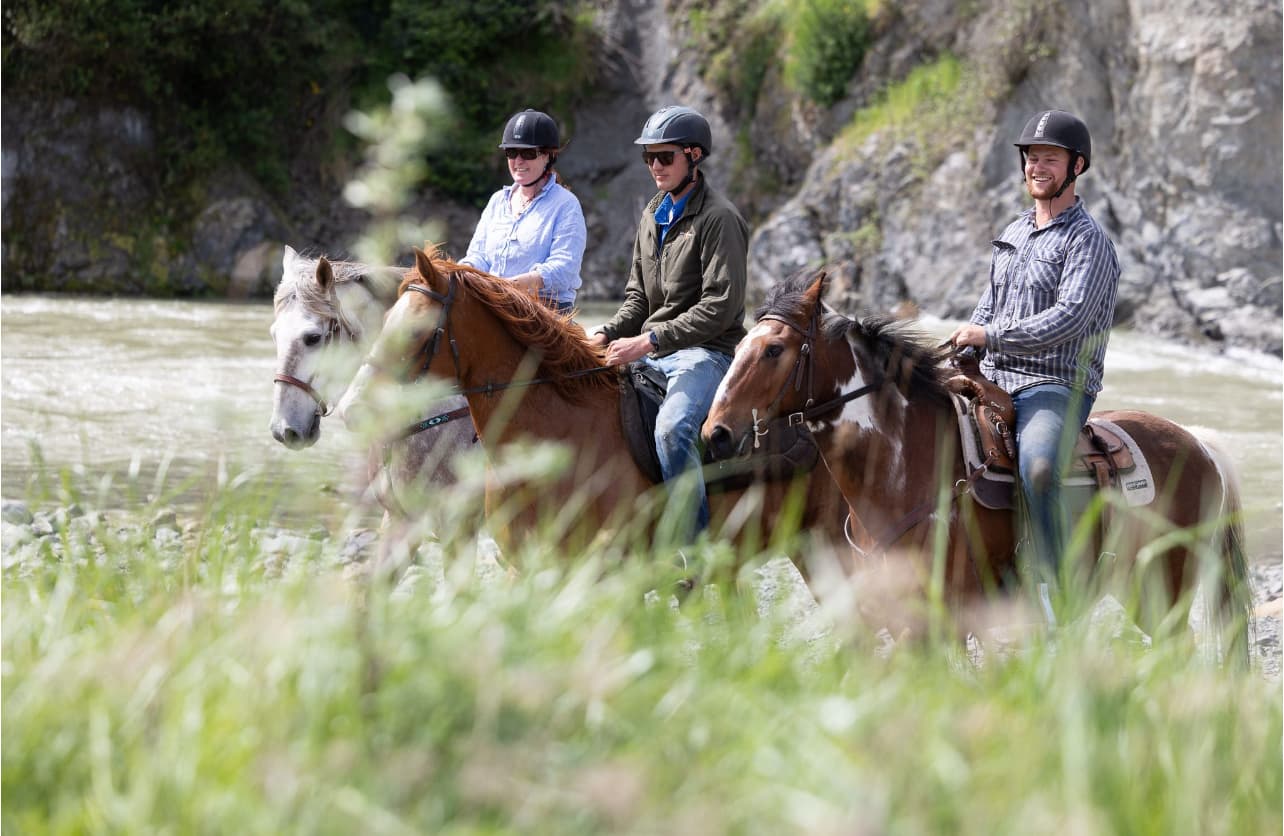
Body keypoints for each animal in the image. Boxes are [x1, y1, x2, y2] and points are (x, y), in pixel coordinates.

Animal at [702, 268, 1252, 659]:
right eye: (743, 344)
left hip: (1163, 588)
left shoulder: (937, 619)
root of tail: (1198, 444)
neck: (904, 467)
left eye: (774, 349)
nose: (716, 432)